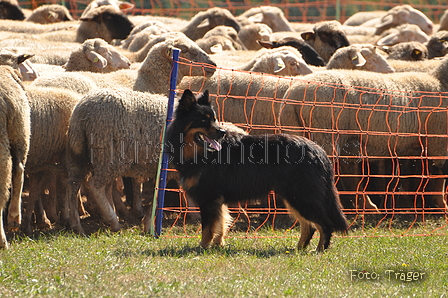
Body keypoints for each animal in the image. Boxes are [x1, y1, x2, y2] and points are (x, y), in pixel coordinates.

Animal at [166, 89, 348, 251]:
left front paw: (202, 247)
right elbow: (221, 224)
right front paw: (218, 245)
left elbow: (207, 228)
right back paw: (298, 249)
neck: (201, 153)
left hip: (301, 196)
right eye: (204, 120)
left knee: (324, 224)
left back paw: (320, 250)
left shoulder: (209, 198)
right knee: (308, 226)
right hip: (293, 197)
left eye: (214, 119)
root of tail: (318, 150)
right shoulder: (217, 200)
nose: (222, 132)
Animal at [278, 56, 448, 210]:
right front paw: (442, 206)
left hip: (297, 131)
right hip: (324, 134)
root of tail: (293, 94)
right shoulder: (438, 140)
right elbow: (440, 176)